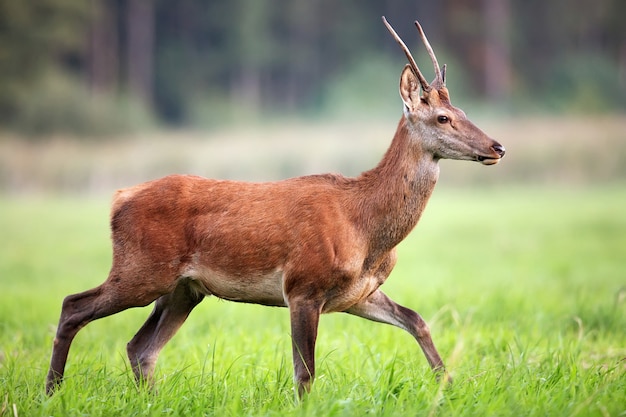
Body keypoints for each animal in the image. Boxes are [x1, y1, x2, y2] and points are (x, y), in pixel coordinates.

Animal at [45, 17, 502, 398]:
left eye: (462, 109)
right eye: (442, 118)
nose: (497, 146)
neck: (365, 227)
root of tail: (119, 198)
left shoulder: (358, 293)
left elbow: (417, 320)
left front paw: (450, 389)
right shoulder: (303, 285)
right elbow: (306, 373)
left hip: (183, 289)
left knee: (140, 347)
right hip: (141, 268)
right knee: (73, 306)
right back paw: (52, 392)